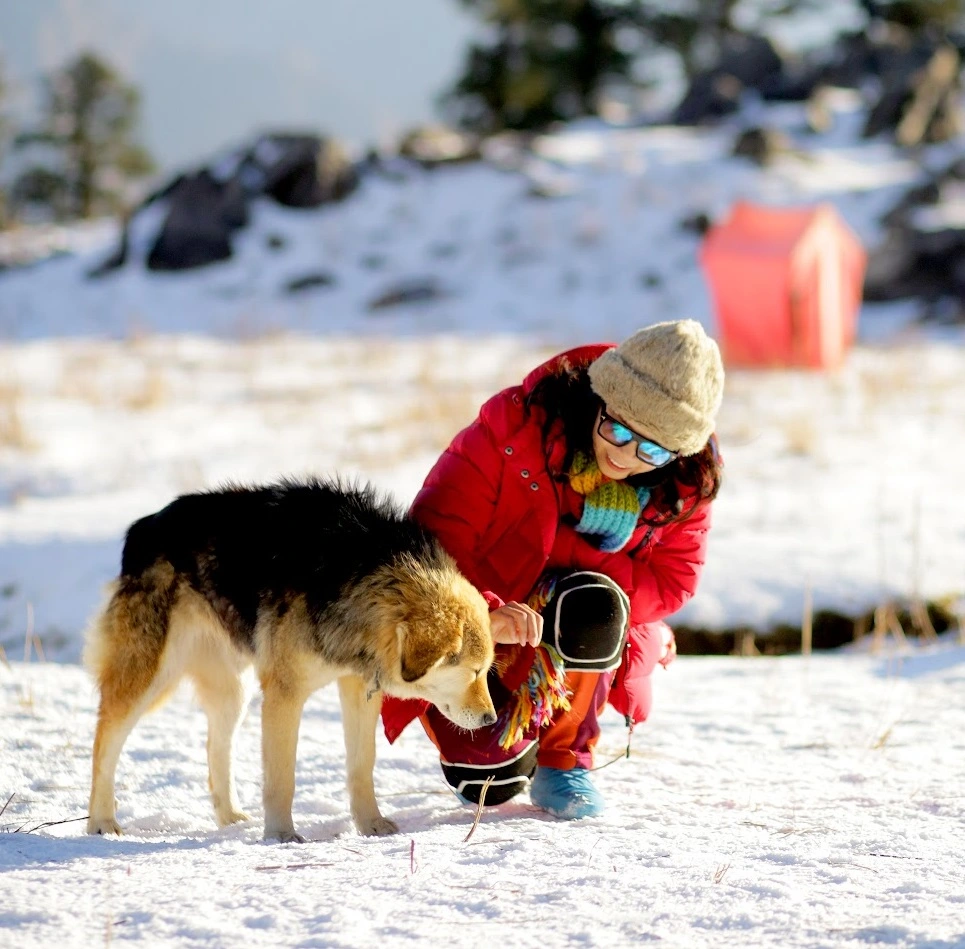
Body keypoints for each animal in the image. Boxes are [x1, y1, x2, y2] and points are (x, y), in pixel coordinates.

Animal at [84, 478, 498, 840]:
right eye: (474, 671)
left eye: (486, 672)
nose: (491, 720)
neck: (356, 575)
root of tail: (144, 525)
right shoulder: (285, 695)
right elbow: (282, 778)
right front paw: (281, 835)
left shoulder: (359, 689)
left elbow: (362, 766)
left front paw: (370, 825)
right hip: (149, 677)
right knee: (105, 739)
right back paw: (101, 821)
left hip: (235, 695)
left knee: (216, 750)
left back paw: (230, 816)